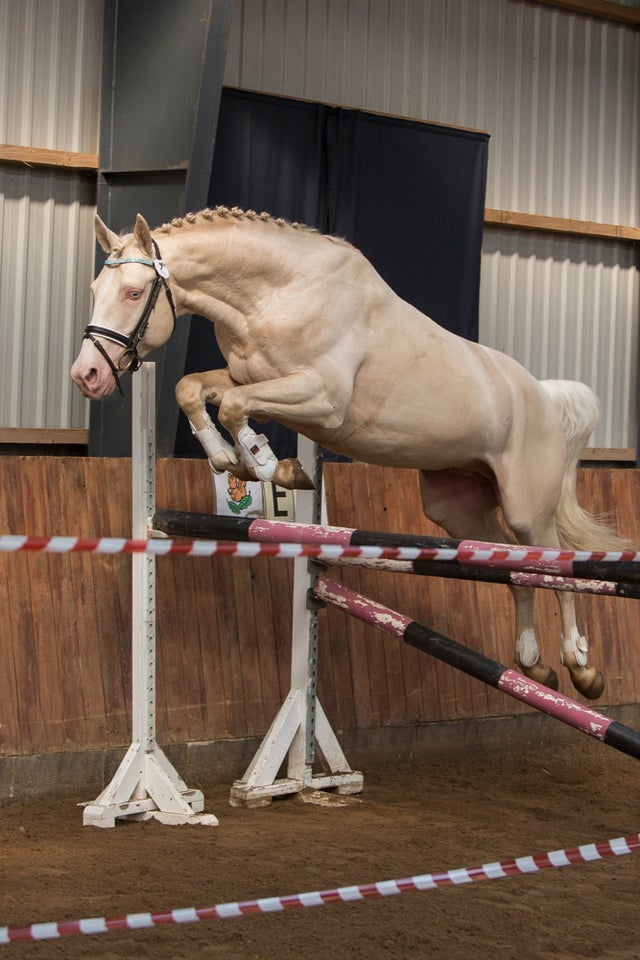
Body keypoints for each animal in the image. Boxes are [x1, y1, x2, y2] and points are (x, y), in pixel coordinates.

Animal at [71, 206, 624, 696]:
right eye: (96, 291)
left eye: (134, 292)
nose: (86, 376)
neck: (278, 293)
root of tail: (543, 397)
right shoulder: (250, 380)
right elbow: (194, 390)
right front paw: (236, 461)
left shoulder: (320, 399)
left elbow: (232, 406)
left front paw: (270, 466)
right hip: (457, 509)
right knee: (512, 567)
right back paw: (532, 663)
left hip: (527, 507)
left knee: (556, 560)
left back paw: (579, 665)